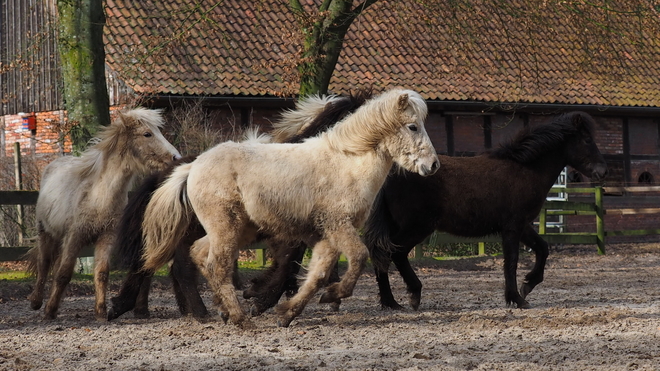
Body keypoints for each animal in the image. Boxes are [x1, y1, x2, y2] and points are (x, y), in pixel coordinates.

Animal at [28, 109, 179, 322]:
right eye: (147, 134)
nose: (175, 157)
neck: (99, 196)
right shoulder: (75, 237)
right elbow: (64, 274)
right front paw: (49, 311)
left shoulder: (106, 237)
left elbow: (101, 273)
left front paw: (100, 311)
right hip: (46, 232)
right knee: (44, 264)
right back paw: (37, 302)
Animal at [141, 89, 438, 328]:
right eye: (413, 126)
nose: (432, 165)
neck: (346, 163)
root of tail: (192, 167)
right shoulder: (338, 225)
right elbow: (357, 257)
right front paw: (332, 295)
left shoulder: (326, 234)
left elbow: (317, 274)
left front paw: (287, 313)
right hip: (226, 226)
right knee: (217, 264)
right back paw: (239, 318)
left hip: (236, 230)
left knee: (200, 254)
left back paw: (224, 311)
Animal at [366, 111, 608, 310]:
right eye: (587, 140)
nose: (603, 171)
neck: (525, 170)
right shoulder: (512, 228)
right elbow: (511, 262)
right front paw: (516, 298)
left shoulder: (522, 225)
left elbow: (542, 248)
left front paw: (528, 285)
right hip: (417, 226)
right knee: (394, 253)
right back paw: (412, 294)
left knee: (381, 254)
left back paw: (391, 302)